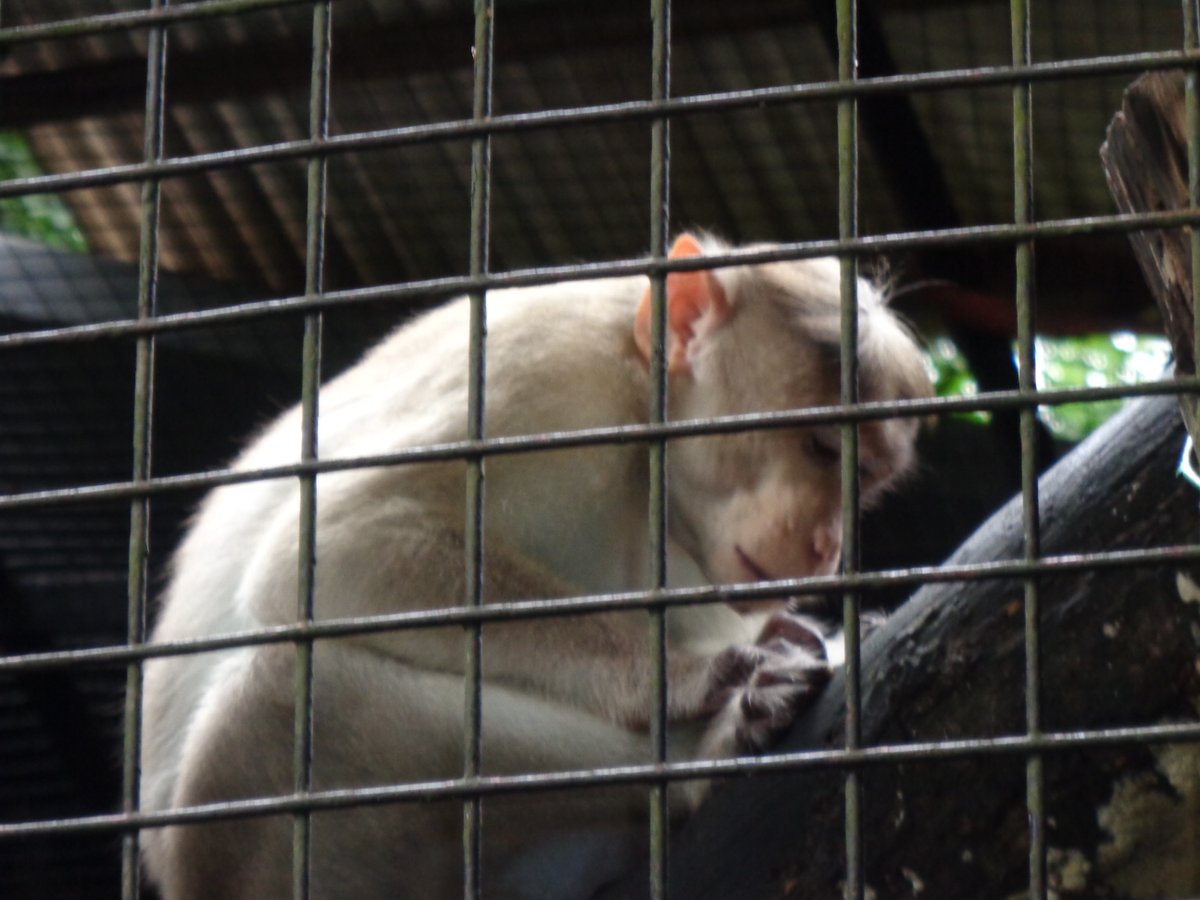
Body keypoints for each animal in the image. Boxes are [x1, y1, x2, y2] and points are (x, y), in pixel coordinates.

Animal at [138, 234, 926, 900]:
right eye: (822, 448)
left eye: (868, 483)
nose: (827, 546)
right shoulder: (545, 369)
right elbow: (334, 545)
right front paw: (685, 676)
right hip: (255, 854)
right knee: (286, 693)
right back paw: (699, 758)